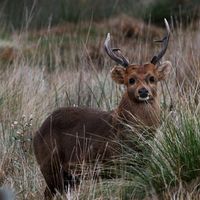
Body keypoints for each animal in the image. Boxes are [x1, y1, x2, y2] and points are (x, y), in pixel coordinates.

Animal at [33, 19, 172, 200]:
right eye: (131, 80)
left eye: (152, 78)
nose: (143, 91)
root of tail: (37, 134)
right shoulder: (117, 163)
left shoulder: (141, 163)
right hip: (50, 165)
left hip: (70, 176)